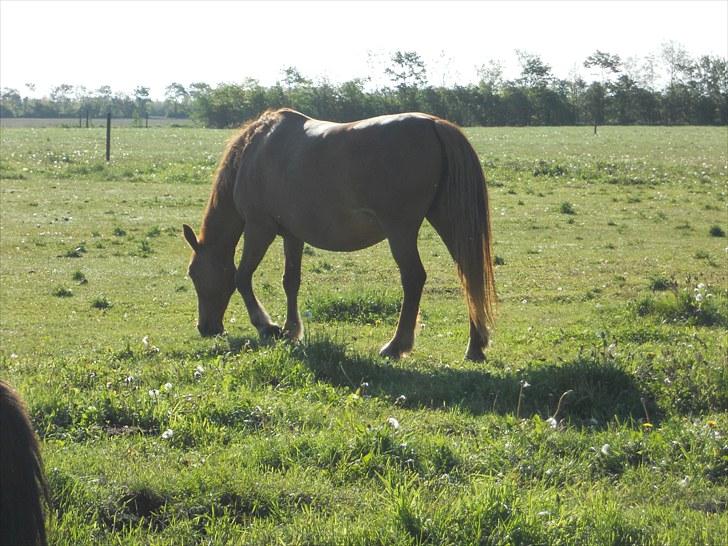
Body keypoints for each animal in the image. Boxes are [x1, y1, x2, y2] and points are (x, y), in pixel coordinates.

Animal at [185, 108, 498, 360]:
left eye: (194, 274)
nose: (206, 328)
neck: (255, 151)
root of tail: (434, 124)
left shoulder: (259, 228)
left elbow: (241, 276)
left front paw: (267, 326)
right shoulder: (292, 236)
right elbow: (290, 281)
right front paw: (290, 330)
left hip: (401, 230)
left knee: (414, 278)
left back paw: (397, 345)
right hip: (448, 221)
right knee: (469, 276)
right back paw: (475, 346)